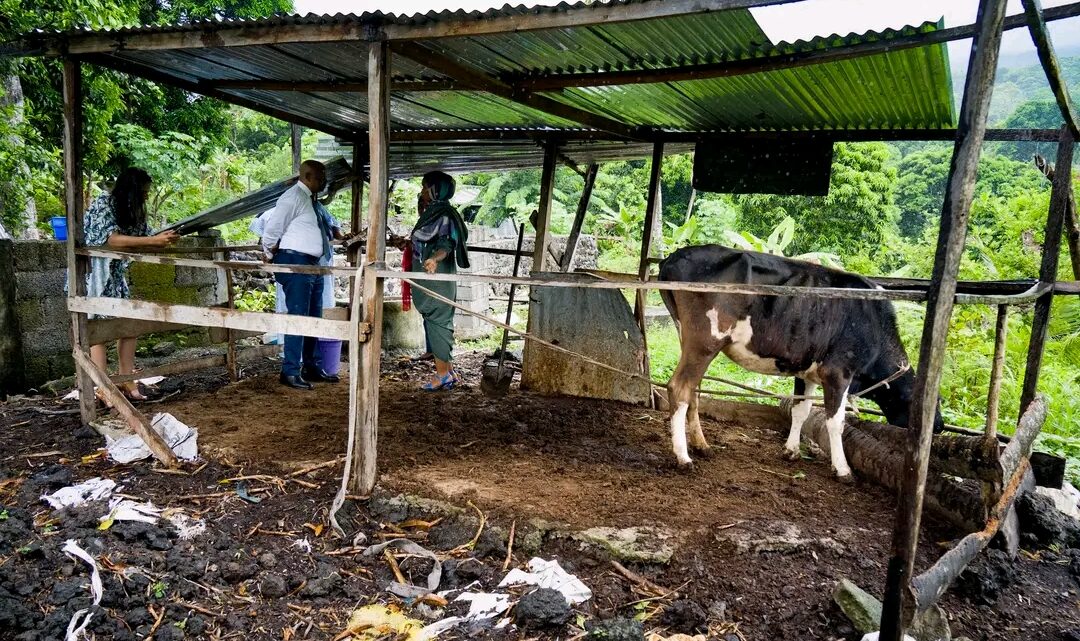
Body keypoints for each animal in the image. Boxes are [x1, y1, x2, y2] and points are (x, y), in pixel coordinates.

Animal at [652, 244, 941, 479]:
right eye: (922, 403)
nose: (938, 426)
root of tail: (673, 257)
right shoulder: (838, 372)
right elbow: (836, 421)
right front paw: (842, 469)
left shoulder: (806, 371)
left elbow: (801, 410)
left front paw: (791, 450)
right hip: (704, 341)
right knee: (679, 388)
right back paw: (684, 457)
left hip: (687, 337)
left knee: (694, 390)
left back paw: (702, 445)